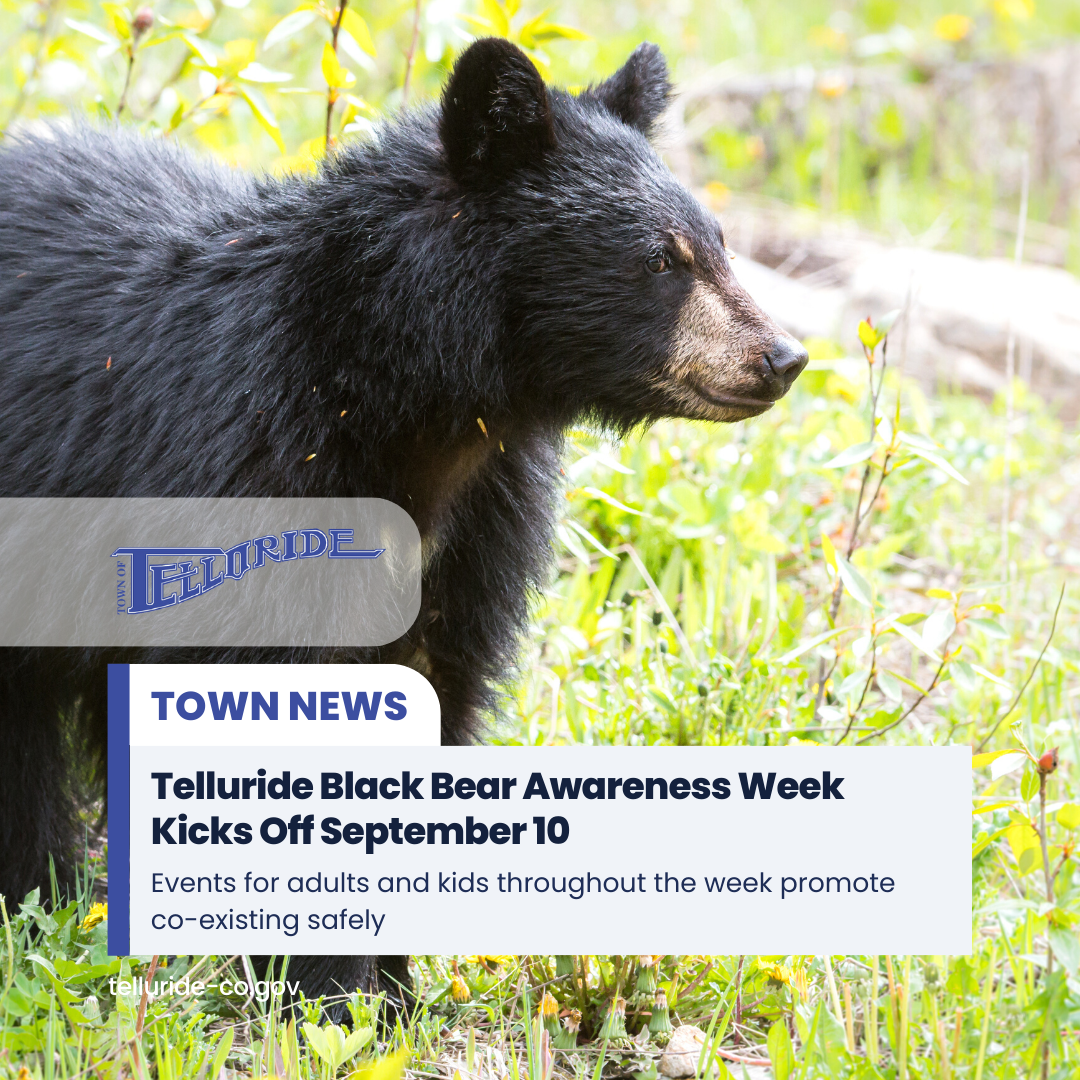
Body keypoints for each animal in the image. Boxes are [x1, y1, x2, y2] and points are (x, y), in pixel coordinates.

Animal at [0, 38, 806, 1013]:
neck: (415, 410)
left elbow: (434, 690)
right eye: (660, 260)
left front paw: (391, 997)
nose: (783, 358)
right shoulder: (247, 473)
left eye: (718, 243)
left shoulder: (480, 527)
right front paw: (320, 995)